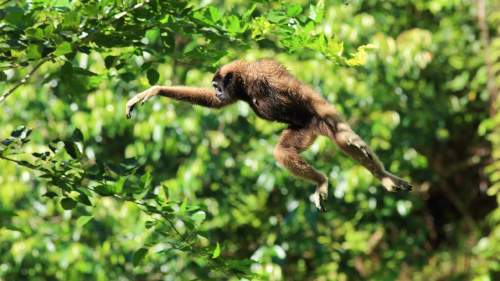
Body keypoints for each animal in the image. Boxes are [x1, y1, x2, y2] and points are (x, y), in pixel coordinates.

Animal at [125, 58, 410, 210]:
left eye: (217, 85)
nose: (217, 90)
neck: (245, 81)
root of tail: (312, 123)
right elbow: (215, 105)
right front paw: (155, 90)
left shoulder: (264, 73)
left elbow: (299, 90)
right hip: (305, 129)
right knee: (286, 150)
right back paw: (383, 178)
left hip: (319, 117)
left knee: (333, 136)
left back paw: (327, 179)